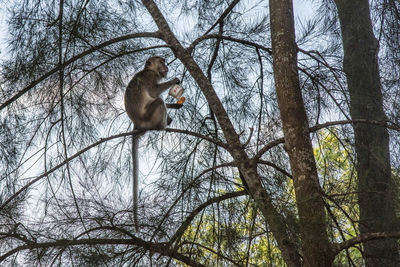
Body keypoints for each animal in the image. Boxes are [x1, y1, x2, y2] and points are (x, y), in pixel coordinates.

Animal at [124, 56, 179, 230]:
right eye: (161, 62)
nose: (166, 67)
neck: (148, 70)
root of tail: (137, 123)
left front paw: (175, 104)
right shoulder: (150, 77)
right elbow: (154, 92)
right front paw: (175, 80)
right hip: (149, 116)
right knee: (158, 101)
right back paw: (162, 125)